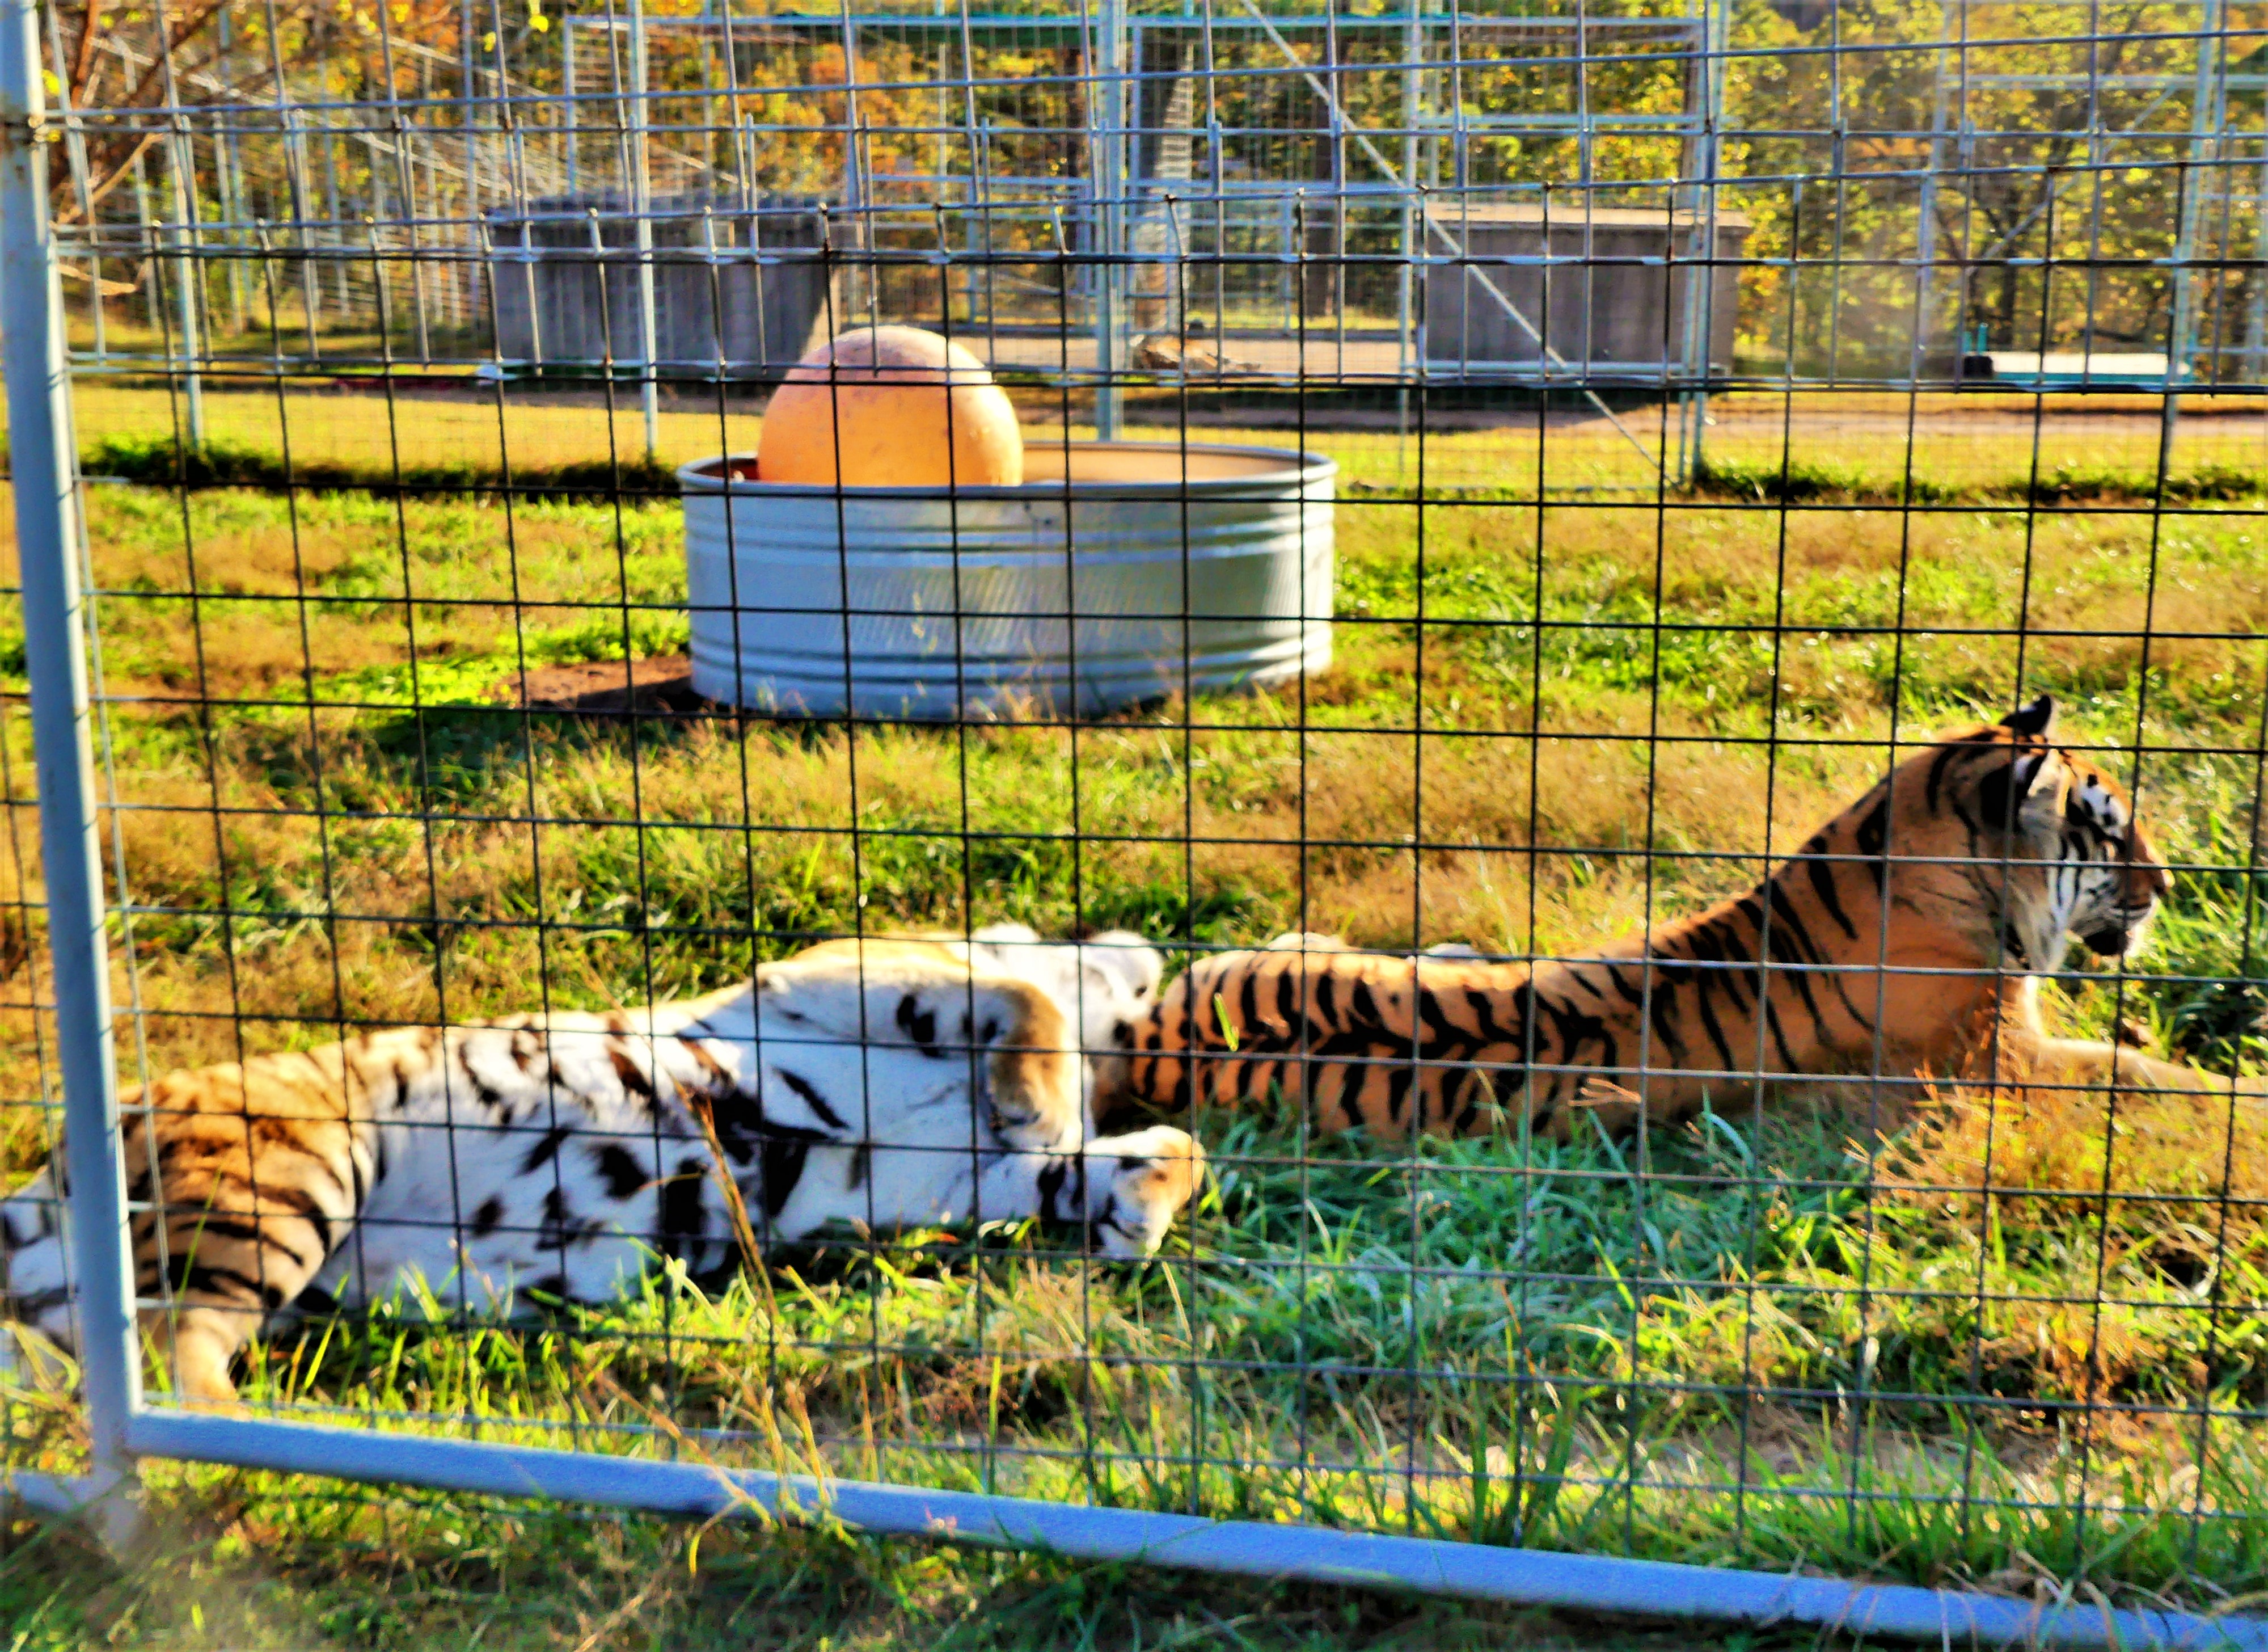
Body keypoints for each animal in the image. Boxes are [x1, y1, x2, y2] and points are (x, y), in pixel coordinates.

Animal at [3, 924, 1205, 1407]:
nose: (1150, 955)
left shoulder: (901, 1181)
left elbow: (1115, 1162)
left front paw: (1134, 1194)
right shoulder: (833, 980)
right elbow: (1026, 994)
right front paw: (1040, 1097)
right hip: (282, 1180)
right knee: (168, 1352)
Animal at [1096, 696, 2254, 1140]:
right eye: (2108, 831)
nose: (2166, 885)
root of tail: (1153, 1039)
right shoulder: (1998, 1062)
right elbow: (2143, 1075)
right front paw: (2242, 1098)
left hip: (1289, 951)